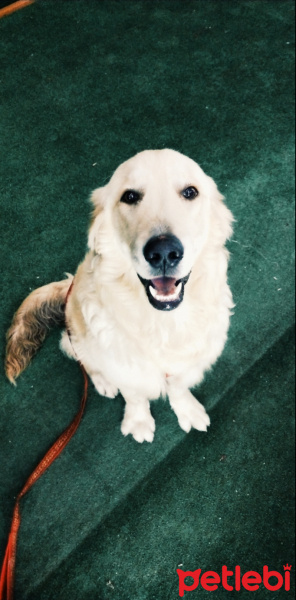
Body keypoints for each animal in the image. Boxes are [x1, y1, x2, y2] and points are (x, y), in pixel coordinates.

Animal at [4, 148, 234, 442]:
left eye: (190, 192)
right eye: (130, 196)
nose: (163, 252)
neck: (162, 324)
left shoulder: (187, 363)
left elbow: (179, 388)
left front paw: (187, 411)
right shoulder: (122, 365)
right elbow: (134, 395)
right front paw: (138, 421)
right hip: (76, 336)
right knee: (86, 363)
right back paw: (103, 382)